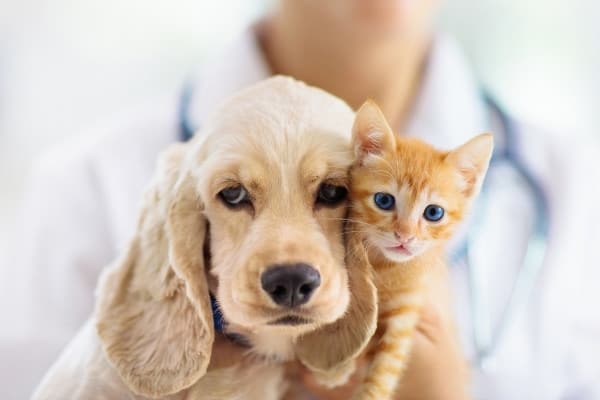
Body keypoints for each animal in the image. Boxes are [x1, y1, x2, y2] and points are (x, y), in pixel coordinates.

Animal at [346, 100, 492, 400]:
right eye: (384, 200)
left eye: (434, 213)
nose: (404, 236)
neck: (385, 268)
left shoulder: (406, 312)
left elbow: (387, 369)